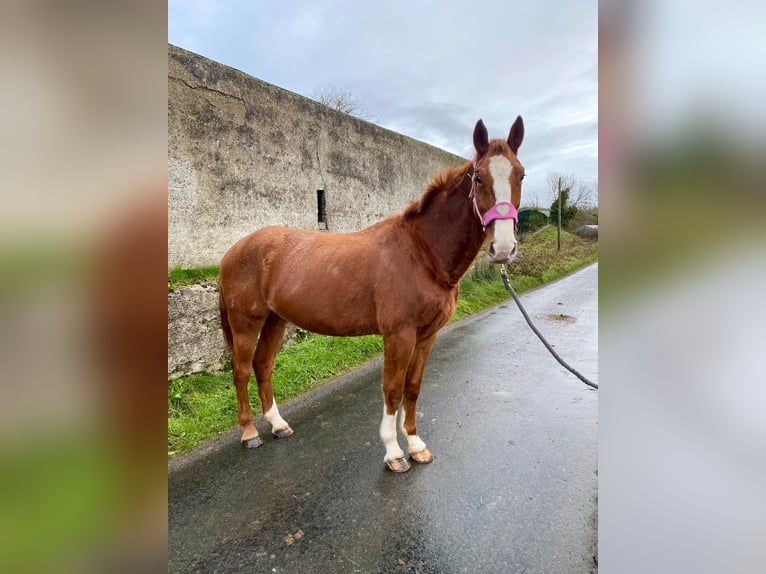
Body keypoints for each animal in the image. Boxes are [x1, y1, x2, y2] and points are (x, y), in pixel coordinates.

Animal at [219, 117, 524, 472]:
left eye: (520, 174)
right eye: (478, 177)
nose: (503, 248)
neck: (421, 252)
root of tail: (233, 251)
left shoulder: (427, 336)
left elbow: (413, 388)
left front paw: (416, 445)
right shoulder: (399, 335)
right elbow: (392, 389)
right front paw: (394, 453)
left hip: (275, 321)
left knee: (263, 365)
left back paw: (278, 425)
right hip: (246, 323)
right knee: (241, 370)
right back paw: (250, 433)